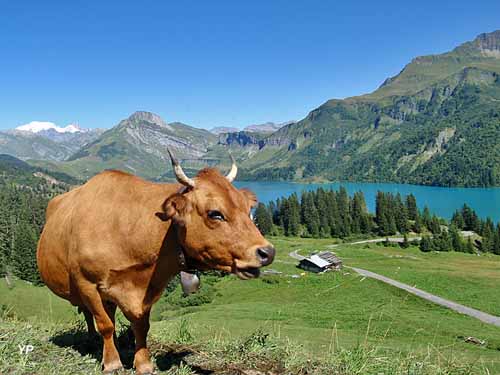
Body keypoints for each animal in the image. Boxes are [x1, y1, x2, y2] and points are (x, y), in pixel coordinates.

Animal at [37, 151, 276, 374]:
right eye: (215, 213)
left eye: (248, 209)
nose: (268, 252)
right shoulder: (86, 282)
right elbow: (105, 324)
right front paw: (112, 363)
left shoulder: (149, 289)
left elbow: (141, 326)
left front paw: (143, 364)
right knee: (91, 315)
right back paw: (93, 340)